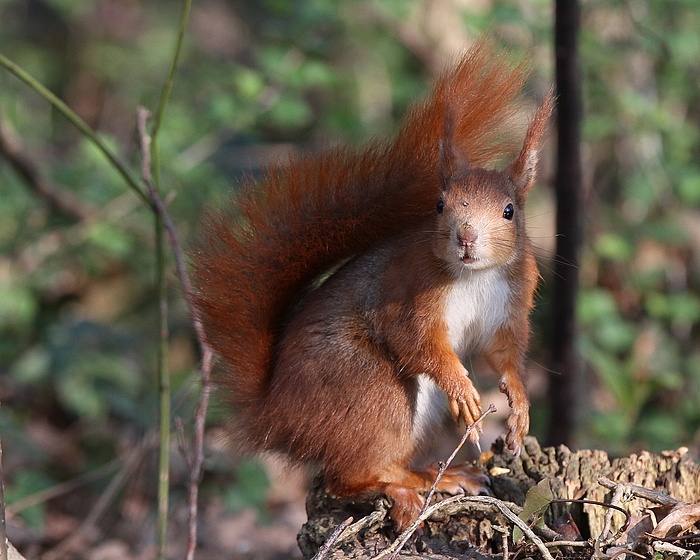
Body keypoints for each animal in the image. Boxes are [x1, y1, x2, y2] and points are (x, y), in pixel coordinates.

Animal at [191, 40, 552, 528]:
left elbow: (505, 355)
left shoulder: (510, 306)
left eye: (509, 211)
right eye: (440, 205)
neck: (476, 276)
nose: (466, 237)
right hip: (374, 390)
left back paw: (434, 474)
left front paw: (520, 406)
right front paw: (464, 391)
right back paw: (403, 488)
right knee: (344, 478)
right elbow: (417, 343)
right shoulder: (407, 294)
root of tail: (274, 414)